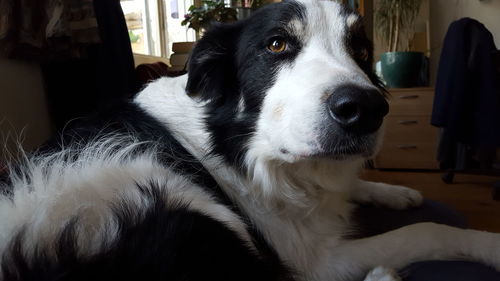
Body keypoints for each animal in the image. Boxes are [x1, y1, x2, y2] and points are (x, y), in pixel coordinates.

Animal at [0, 0, 500, 280]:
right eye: (276, 45)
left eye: (360, 50)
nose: (366, 109)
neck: (233, 146)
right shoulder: (316, 262)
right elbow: (427, 231)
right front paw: (488, 245)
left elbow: (352, 184)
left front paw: (397, 192)